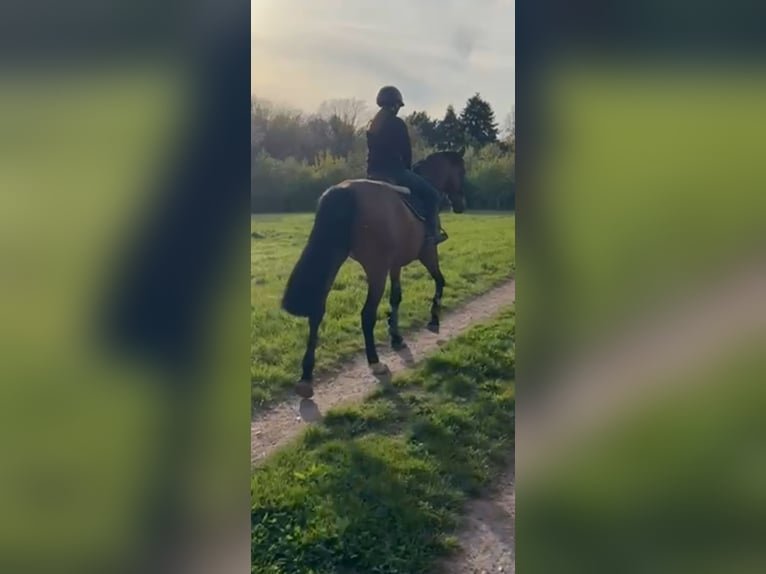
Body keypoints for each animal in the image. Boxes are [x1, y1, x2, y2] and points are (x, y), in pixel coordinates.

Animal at [281, 150, 467, 398]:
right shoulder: (428, 253)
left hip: (336, 259)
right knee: (367, 314)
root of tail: (346, 190)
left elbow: (396, 297)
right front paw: (434, 318)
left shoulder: (395, 265)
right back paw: (375, 362)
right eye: (461, 171)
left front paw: (396, 336)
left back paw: (306, 377)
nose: (461, 205)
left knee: (316, 311)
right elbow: (440, 281)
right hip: (376, 269)